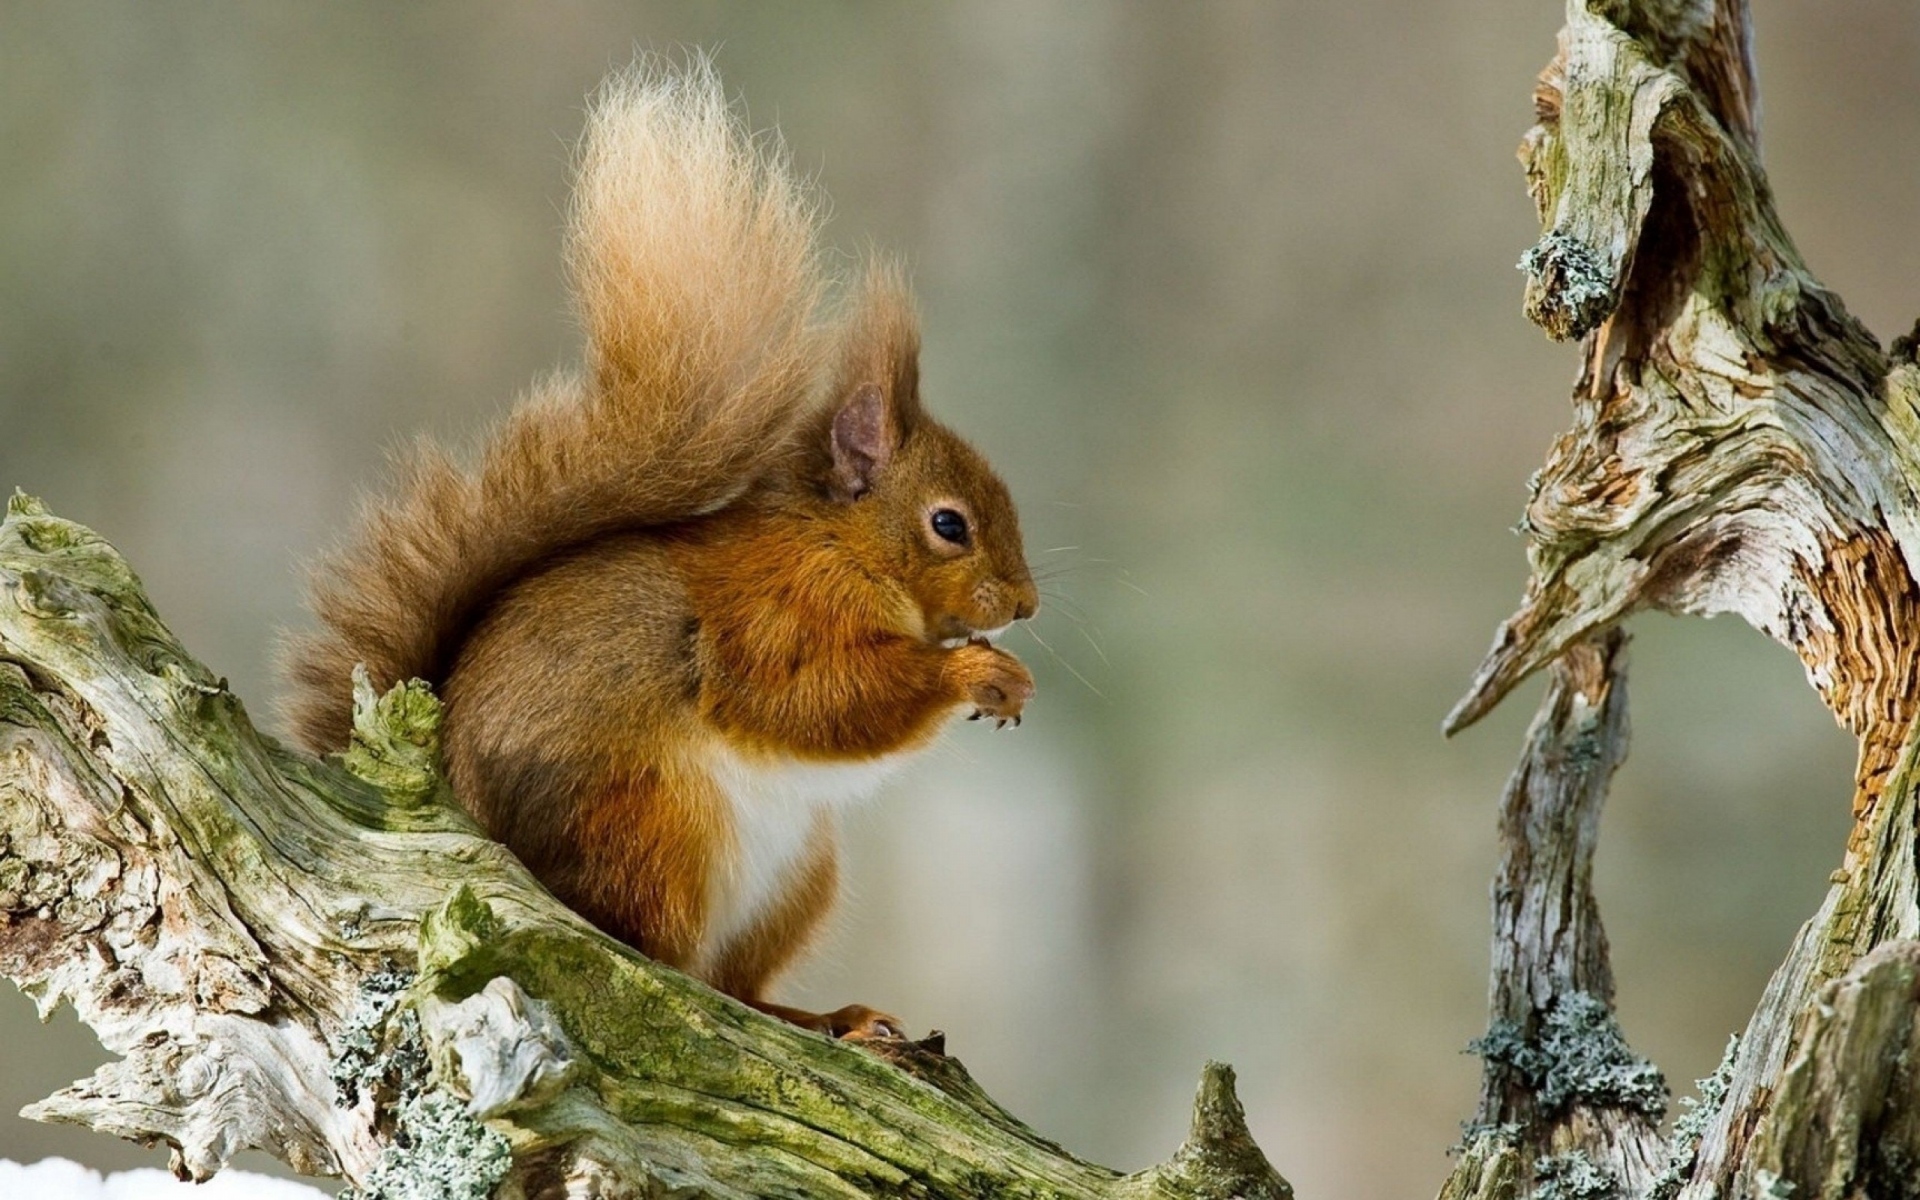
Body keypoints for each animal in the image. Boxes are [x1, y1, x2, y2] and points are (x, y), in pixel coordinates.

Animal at [278, 61, 1038, 1040]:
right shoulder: (770, 615)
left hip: (797, 876)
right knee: (663, 959)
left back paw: (827, 1019)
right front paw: (977, 674)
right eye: (950, 525)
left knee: (732, 984)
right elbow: (816, 699)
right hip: (654, 828)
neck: (838, 544)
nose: (1024, 605)